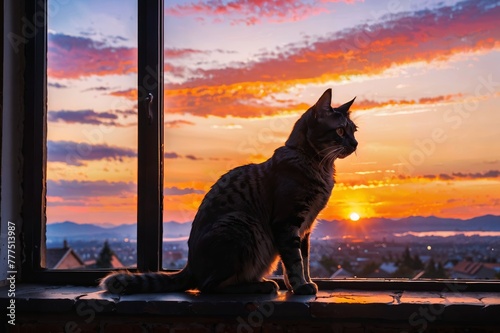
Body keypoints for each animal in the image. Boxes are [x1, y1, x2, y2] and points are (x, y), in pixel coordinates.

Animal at [99, 87, 358, 294]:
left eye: (354, 130)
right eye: (340, 131)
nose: (355, 144)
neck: (319, 166)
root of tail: (190, 265)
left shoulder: (306, 228)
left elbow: (303, 259)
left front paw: (303, 282)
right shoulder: (288, 221)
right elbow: (294, 260)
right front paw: (300, 286)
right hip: (242, 224)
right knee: (208, 286)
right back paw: (260, 286)